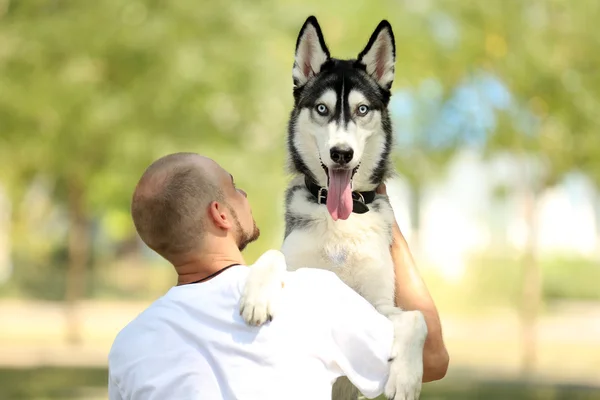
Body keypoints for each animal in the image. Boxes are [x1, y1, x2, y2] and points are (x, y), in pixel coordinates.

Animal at [239, 16, 426, 400]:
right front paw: (259, 294)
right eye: (322, 109)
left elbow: (418, 317)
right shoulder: (295, 260)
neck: (340, 222)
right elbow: (274, 255)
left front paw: (406, 377)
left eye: (362, 109)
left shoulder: (379, 307)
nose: (341, 153)